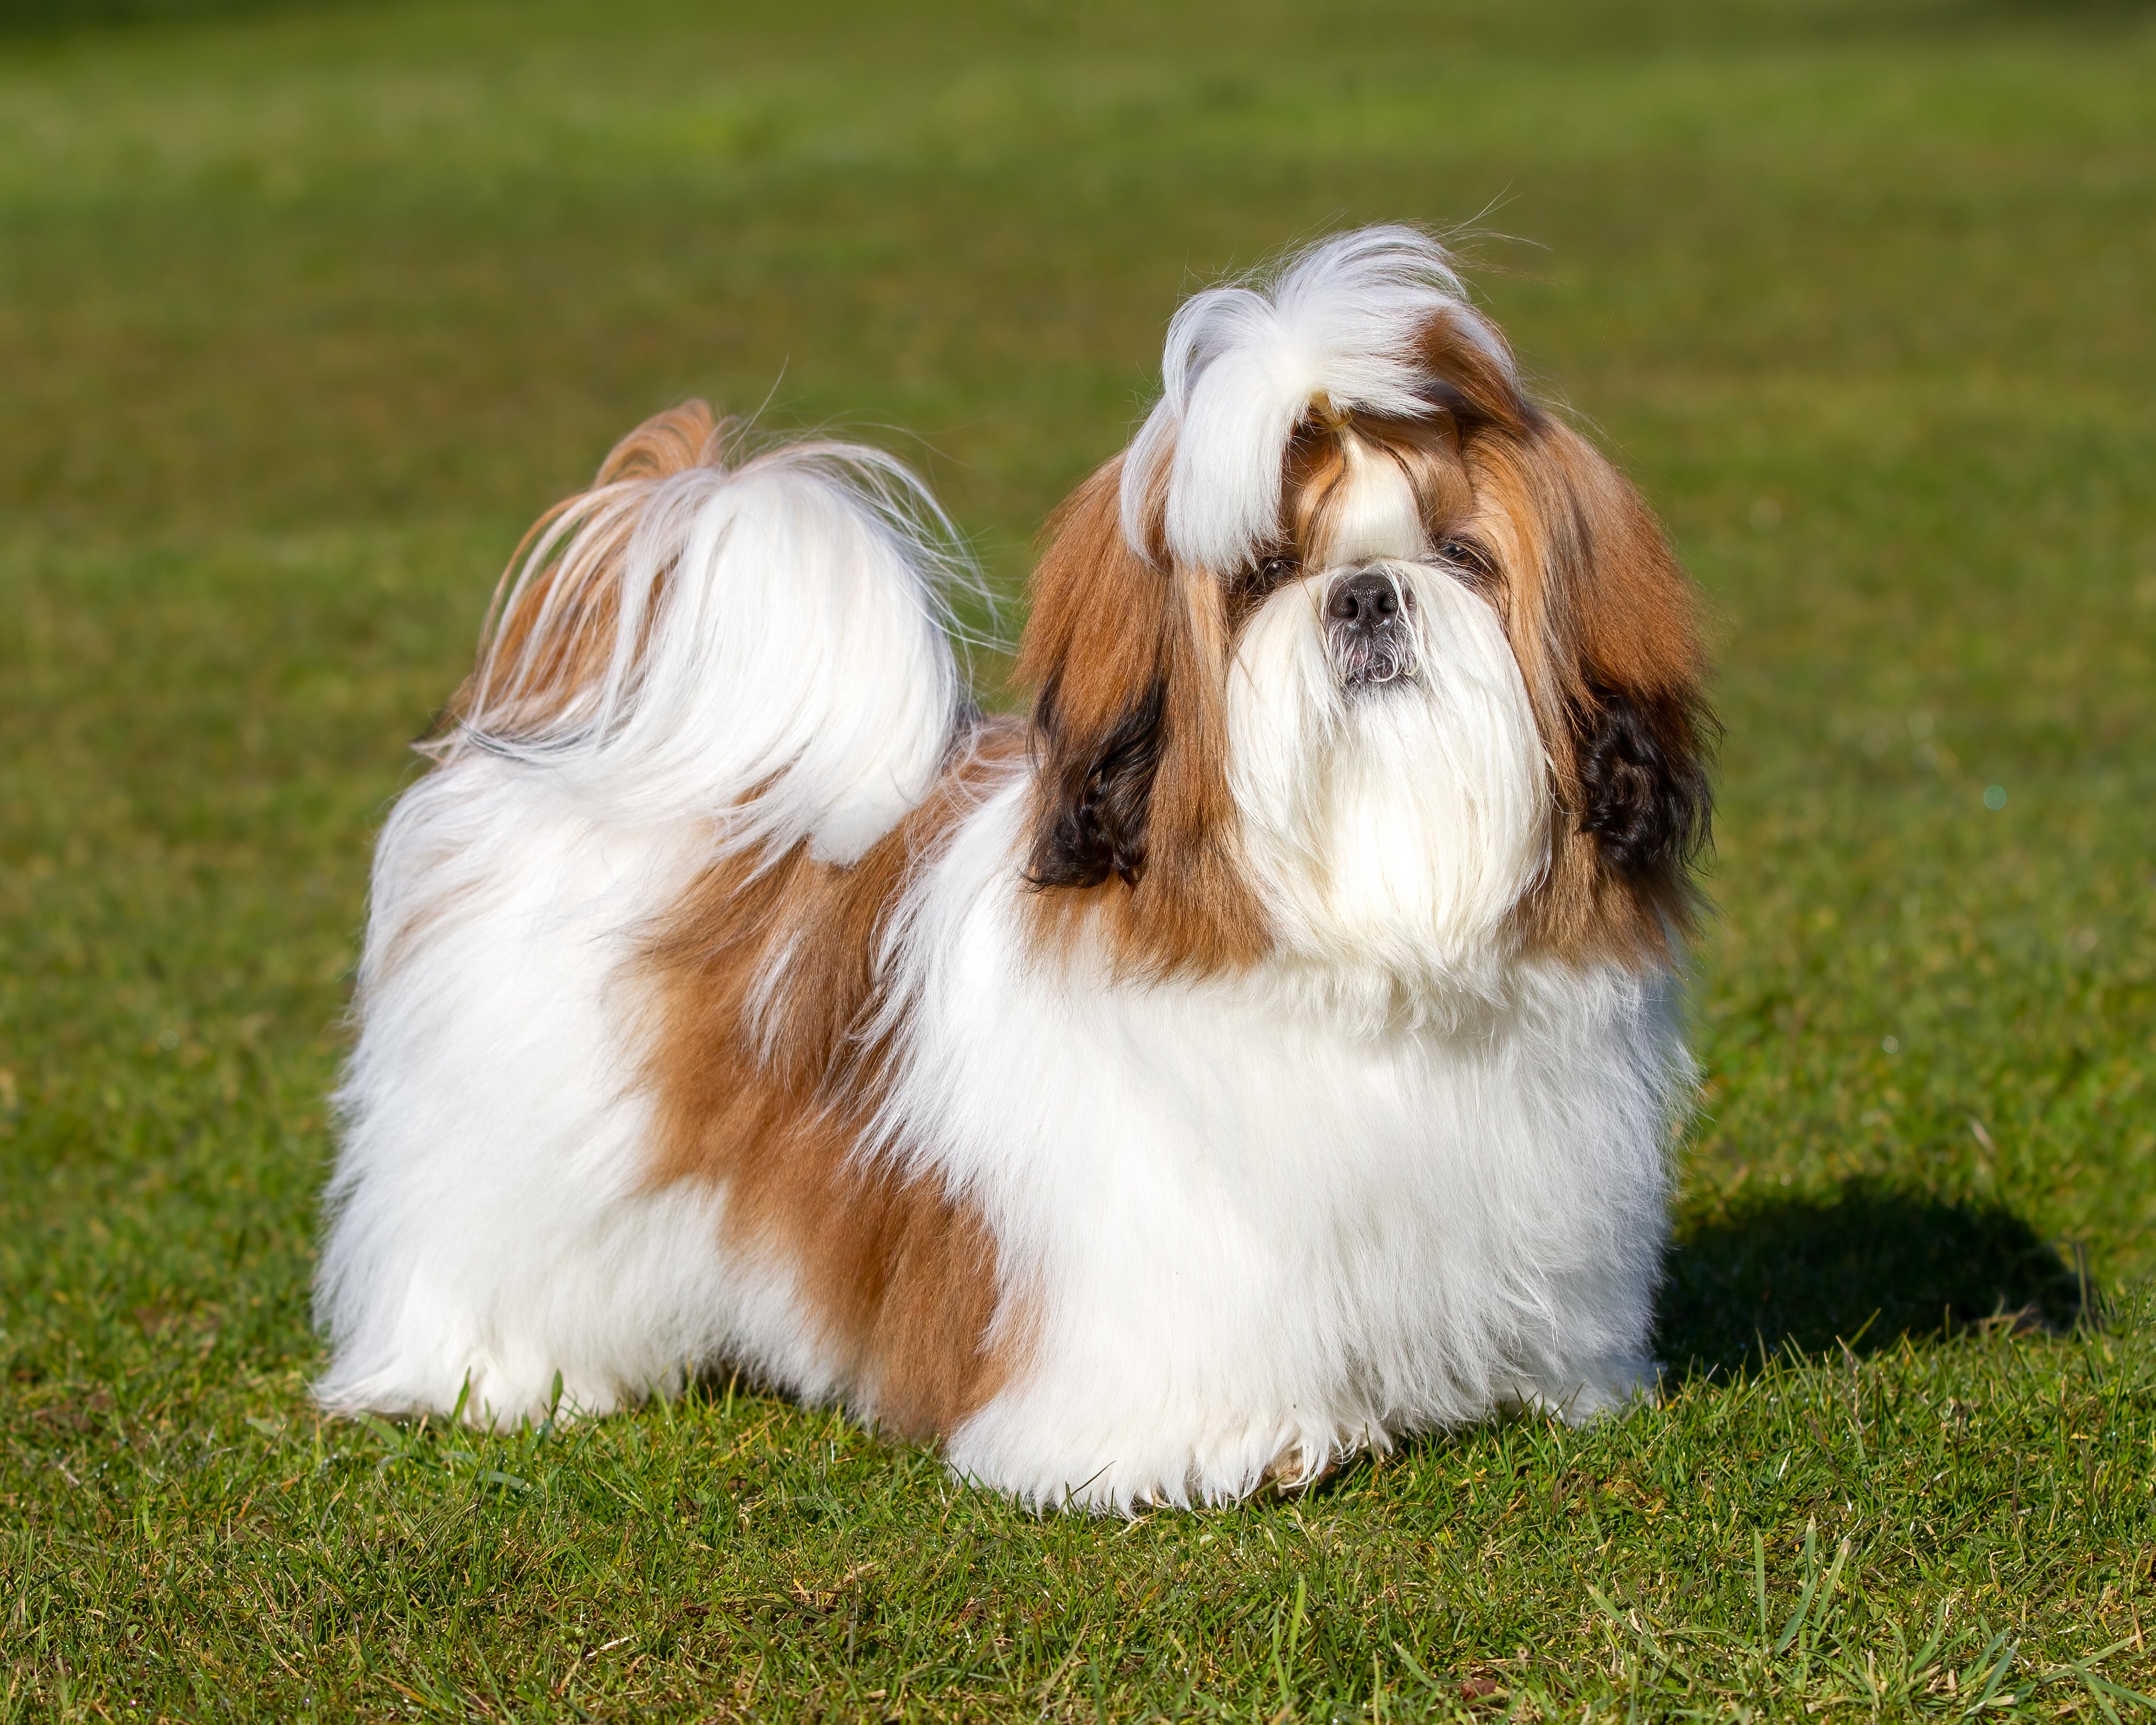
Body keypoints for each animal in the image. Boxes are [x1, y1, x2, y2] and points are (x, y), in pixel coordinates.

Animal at [312, 229, 1707, 1509]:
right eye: (1264, 575)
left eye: (1462, 557)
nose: (1365, 594)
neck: (1361, 920)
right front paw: (1225, 1444)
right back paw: (494, 1369)